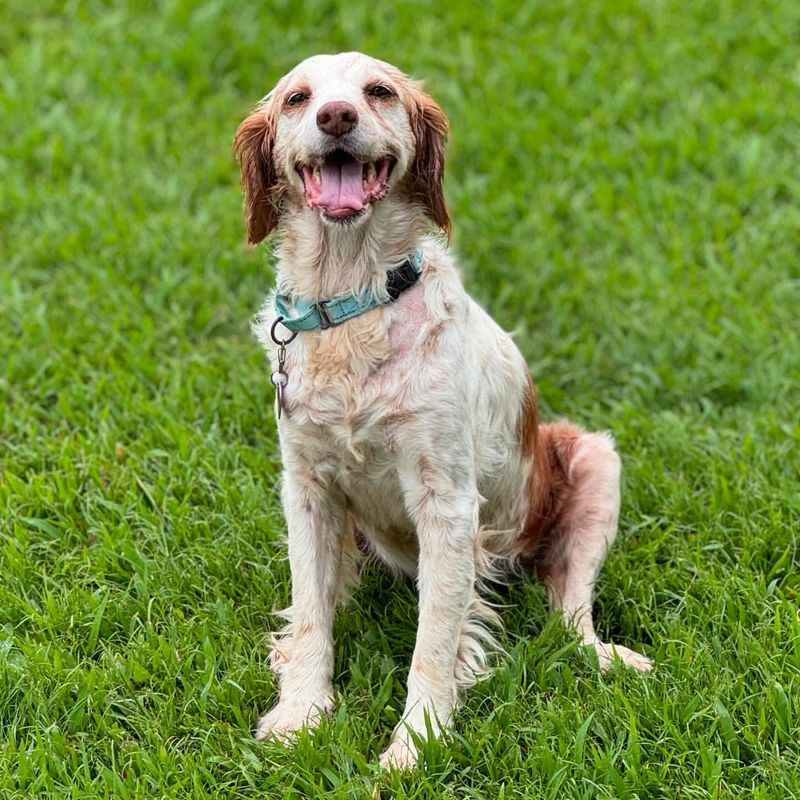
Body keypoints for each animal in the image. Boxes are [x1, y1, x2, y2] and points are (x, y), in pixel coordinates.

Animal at [233, 50, 648, 768]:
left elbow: (433, 642)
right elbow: (311, 613)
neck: (354, 303)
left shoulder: (447, 504)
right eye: (297, 98)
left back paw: (606, 656)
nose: (335, 116)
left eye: (378, 92)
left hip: (596, 461)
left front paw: (415, 745)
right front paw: (300, 714)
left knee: (572, 614)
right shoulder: (307, 489)